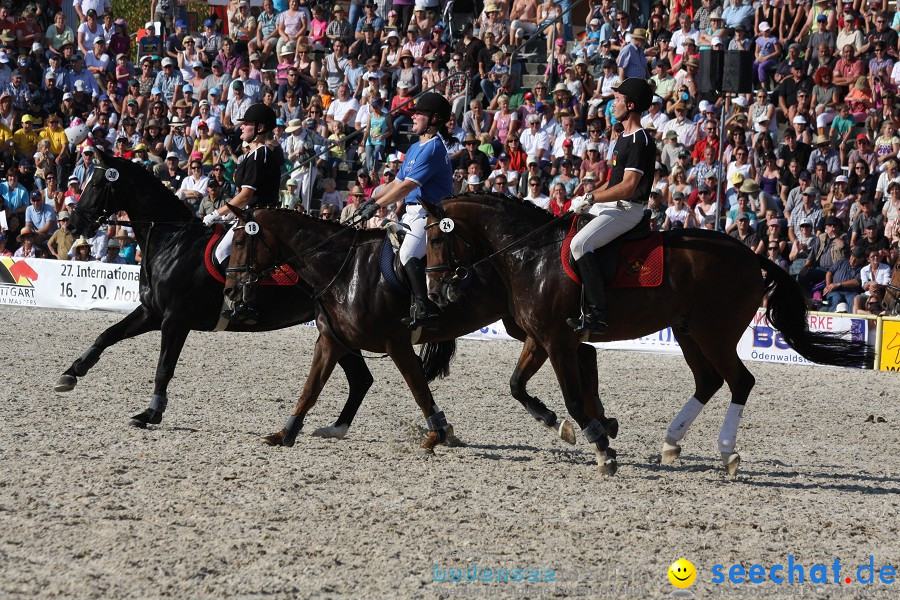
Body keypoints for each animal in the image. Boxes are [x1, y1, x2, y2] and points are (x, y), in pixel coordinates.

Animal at [61, 149, 374, 432]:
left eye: (97, 184)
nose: (74, 224)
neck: (173, 241)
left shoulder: (175, 319)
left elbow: (164, 367)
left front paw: (151, 413)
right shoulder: (152, 312)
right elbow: (107, 335)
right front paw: (70, 374)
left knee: (361, 378)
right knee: (362, 379)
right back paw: (335, 428)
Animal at [224, 204, 628, 448]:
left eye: (241, 239)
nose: (229, 289)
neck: (344, 269)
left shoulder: (396, 342)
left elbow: (419, 389)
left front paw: (439, 432)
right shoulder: (331, 340)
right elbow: (310, 389)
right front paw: (285, 433)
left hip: (533, 324)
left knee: (579, 351)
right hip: (528, 325)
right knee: (584, 350)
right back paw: (599, 420)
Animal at [426, 192, 876, 474]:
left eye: (433, 237)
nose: (436, 292)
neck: (530, 256)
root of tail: (751, 256)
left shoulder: (558, 342)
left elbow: (573, 397)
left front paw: (600, 447)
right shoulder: (541, 339)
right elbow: (517, 386)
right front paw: (559, 425)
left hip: (714, 333)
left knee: (740, 381)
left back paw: (726, 452)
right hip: (689, 332)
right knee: (709, 381)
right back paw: (672, 442)